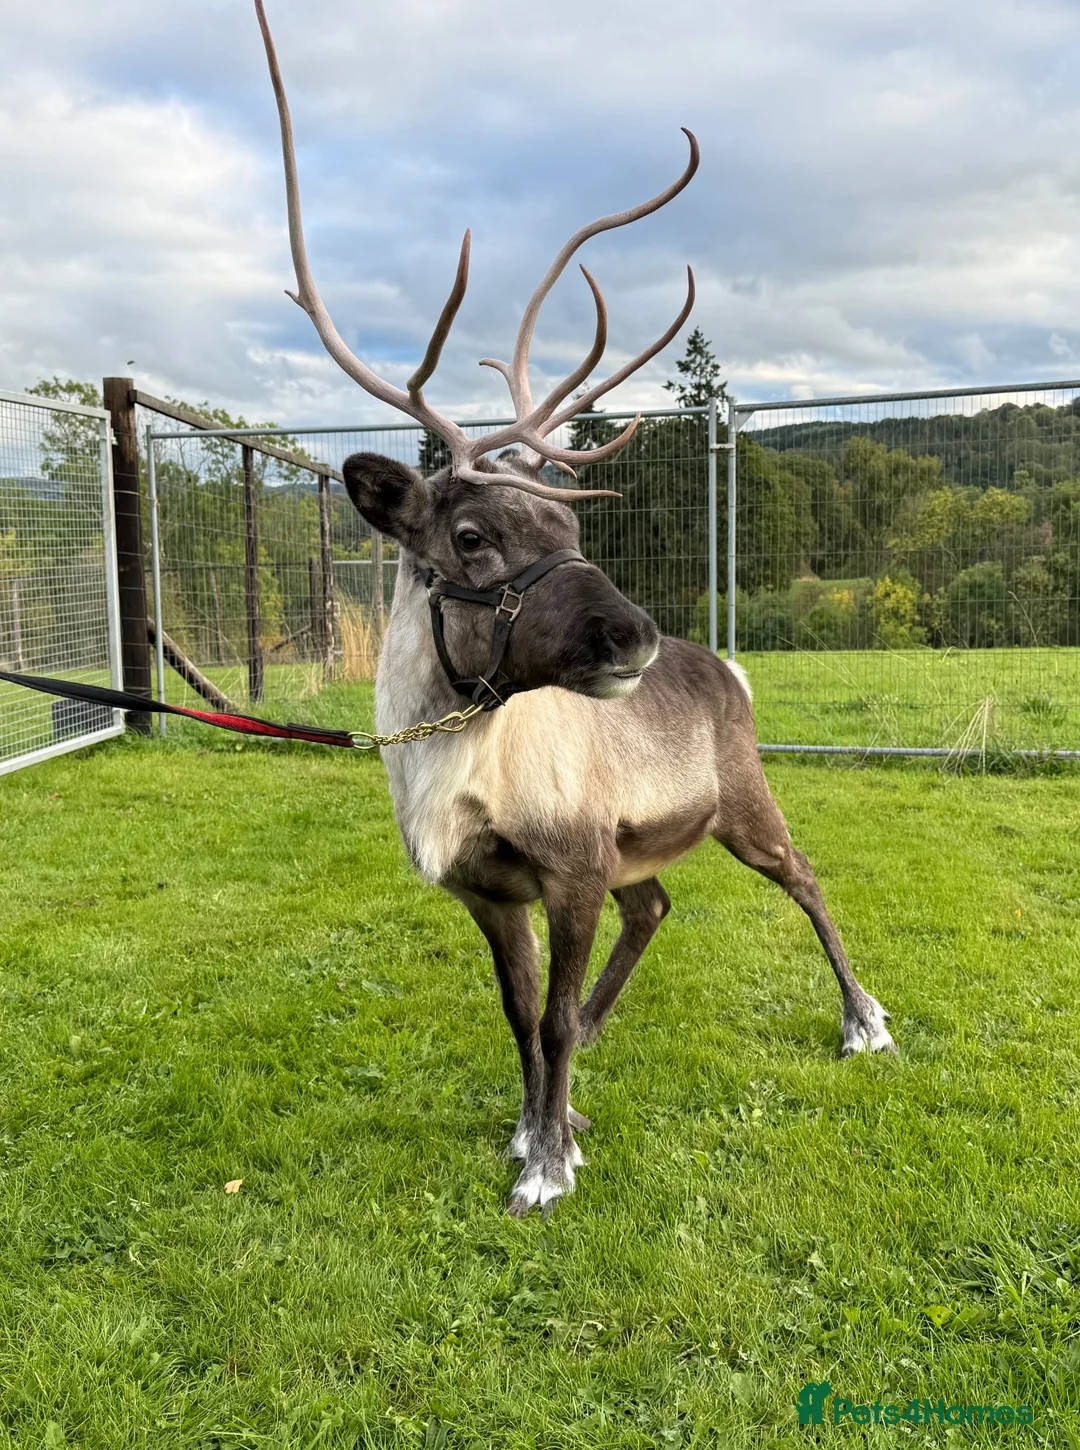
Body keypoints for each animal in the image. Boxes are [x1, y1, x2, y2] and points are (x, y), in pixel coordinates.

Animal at [255, 0, 896, 1216]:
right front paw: (532, 1125)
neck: (447, 774)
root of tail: (728, 668)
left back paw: (864, 1021)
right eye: (471, 536)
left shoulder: (576, 868)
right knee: (661, 909)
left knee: (805, 879)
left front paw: (549, 1162)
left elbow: (544, 1018)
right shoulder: (491, 891)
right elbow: (520, 1016)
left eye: (573, 531)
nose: (631, 634)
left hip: (744, 805)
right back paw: (606, 1036)